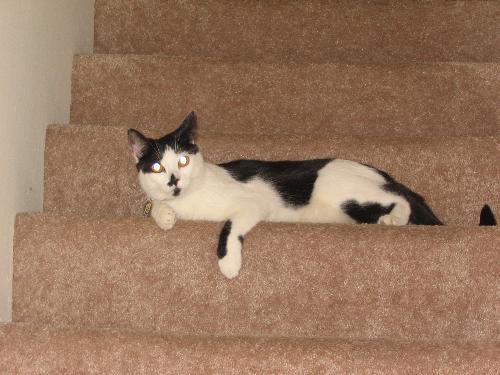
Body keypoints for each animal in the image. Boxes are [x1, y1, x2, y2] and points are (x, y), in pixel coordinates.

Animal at [129, 111, 496, 280]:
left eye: (183, 160)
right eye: (158, 167)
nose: (174, 180)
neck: (190, 202)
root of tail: (378, 171)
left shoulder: (252, 203)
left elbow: (229, 226)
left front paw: (229, 263)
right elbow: (156, 205)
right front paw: (163, 214)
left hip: (346, 190)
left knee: (403, 197)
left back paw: (393, 219)